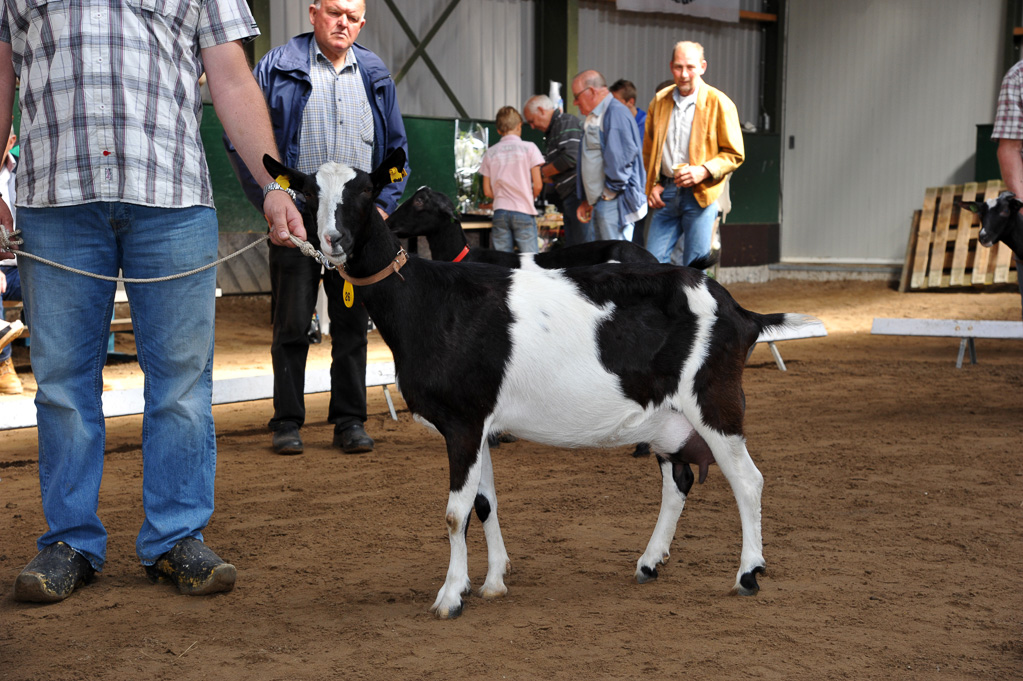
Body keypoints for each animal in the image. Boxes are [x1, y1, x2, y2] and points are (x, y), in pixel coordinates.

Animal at [265, 151, 822, 617]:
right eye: (308, 195)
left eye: (365, 192)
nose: (332, 240)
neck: (428, 298)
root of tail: (740, 311)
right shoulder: (480, 423)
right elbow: (483, 503)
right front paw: (491, 581)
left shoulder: (463, 421)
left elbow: (454, 513)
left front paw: (450, 596)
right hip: (668, 417)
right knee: (678, 481)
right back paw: (649, 562)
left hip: (714, 402)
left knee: (747, 481)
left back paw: (748, 574)